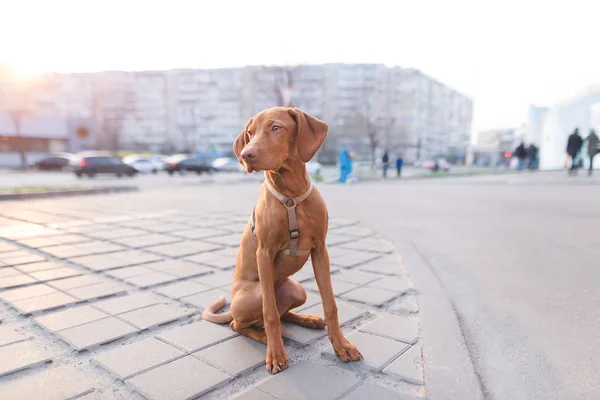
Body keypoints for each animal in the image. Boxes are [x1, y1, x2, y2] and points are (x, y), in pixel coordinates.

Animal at [205, 107, 360, 376]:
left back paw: (307, 320)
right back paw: (266, 338)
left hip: (296, 290)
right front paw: (276, 354)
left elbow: (330, 305)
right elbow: (270, 314)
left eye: (276, 128)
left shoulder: (320, 250)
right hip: (254, 294)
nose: (246, 155)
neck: (291, 196)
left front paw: (341, 346)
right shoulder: (264, 253)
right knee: (242, 323)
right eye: (250, 133)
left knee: (282, 312)